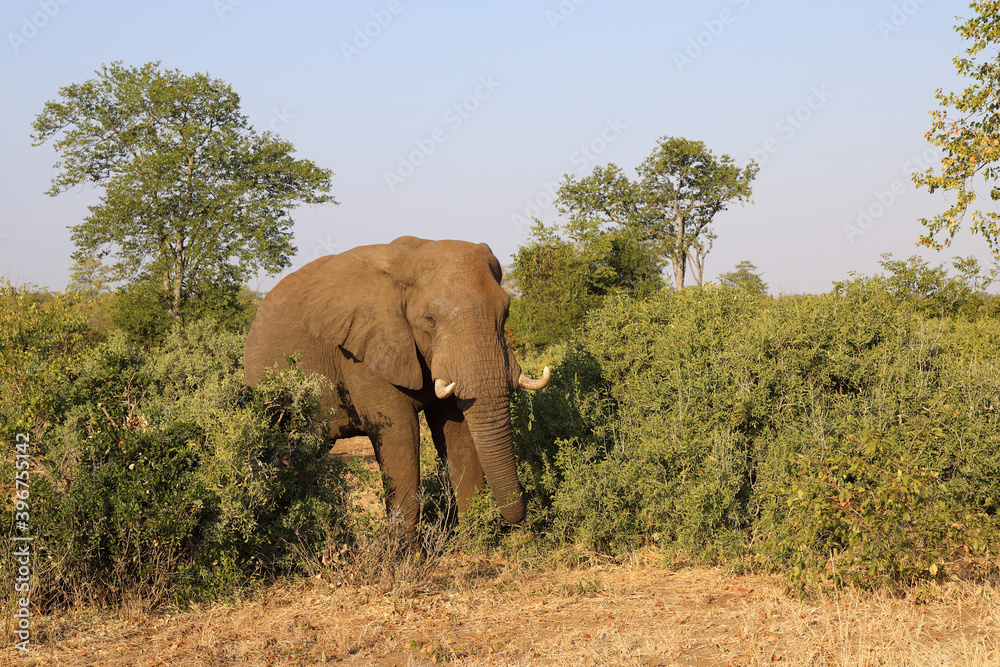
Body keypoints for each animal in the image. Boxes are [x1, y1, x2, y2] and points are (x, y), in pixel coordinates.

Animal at [243, 236, 550, 539]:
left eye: (506, 312)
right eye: (429, 320)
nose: (520, 515)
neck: (413, 256)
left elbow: (458, 433)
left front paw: (475, 541)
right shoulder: (364, 351)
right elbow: (400, 436)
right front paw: (407, 551)